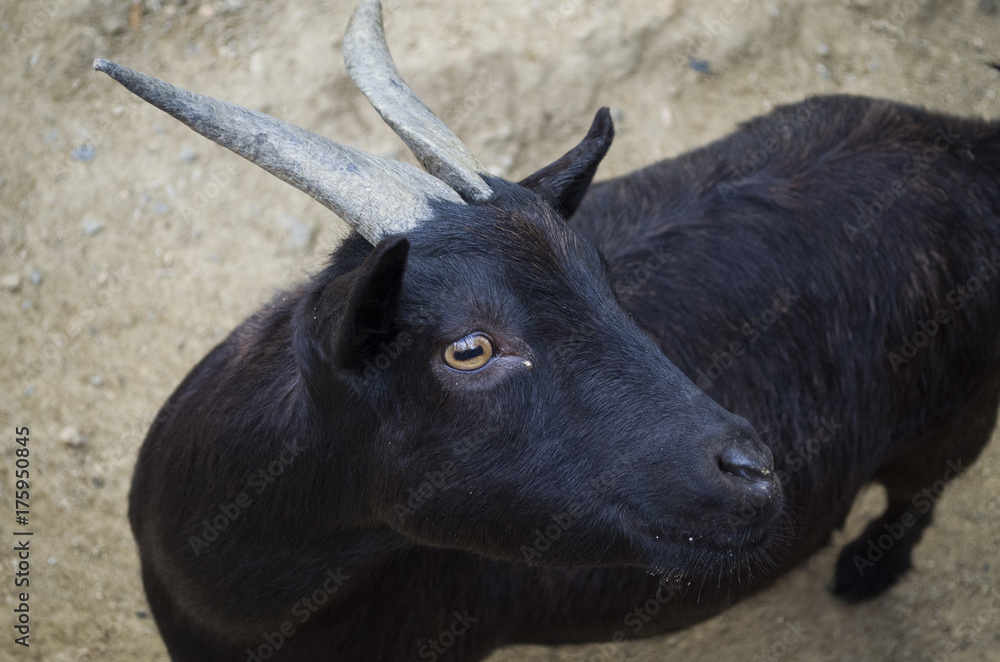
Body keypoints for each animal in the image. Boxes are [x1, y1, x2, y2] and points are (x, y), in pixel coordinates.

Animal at [97, 1, 1000, 660]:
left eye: (602, 276)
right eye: (469, 349)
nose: (754, 473)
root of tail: (971, 142)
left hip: (954, 420)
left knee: (919, 494)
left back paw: (863, 574)